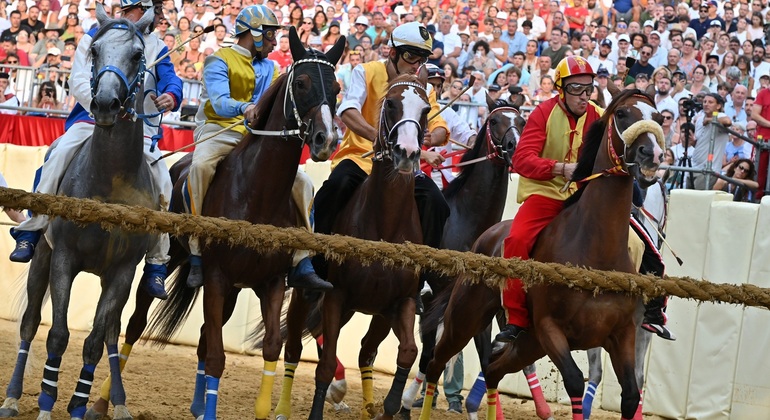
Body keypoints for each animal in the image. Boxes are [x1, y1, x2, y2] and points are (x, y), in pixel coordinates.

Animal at [0, 7, 158, 420]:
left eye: (138, 54)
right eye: (95, 50)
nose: (103, 104)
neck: (110, 181)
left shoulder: (122, 271)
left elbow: (95, 341)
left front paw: (77, 404)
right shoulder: (64, 259)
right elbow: (57, 335)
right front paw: (45, 404)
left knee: (111, 333)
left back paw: (117, 403)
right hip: (42, 257)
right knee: (29, 323)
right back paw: (12, 396)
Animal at [84, 29, 346, 420]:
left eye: (338, 87)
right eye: (301, 83)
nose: (325, 139)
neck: (258, 193)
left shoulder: (269, 283)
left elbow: (269, 346)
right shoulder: (218, 277)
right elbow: (219, 357)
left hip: (234, 292)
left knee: (206, 336)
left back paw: (194, 403)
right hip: (174, 267)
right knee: (136, 325)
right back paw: (104, 401)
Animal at [275, 72, 430, 420]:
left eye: (426, 108)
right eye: (391, 104)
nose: (407, 152)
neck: (384, 225)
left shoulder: (401, 302)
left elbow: (408, 352)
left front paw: (390, 406)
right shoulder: (336, 297)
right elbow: (324, 363)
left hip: (373, 313)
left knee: (366, 351)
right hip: (311, 298)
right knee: (293, 348)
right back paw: (281, 407)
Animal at [418, 89, 665, 420]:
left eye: (658, 117)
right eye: (623, 114)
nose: (651, 154)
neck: (595, 250)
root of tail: (485, 238)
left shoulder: (623, 333)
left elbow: (630, 394)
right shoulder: (550, 329)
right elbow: (574, 381)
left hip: (526, 341)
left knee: (492, 369)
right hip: (466, 318)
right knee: (435, 361)